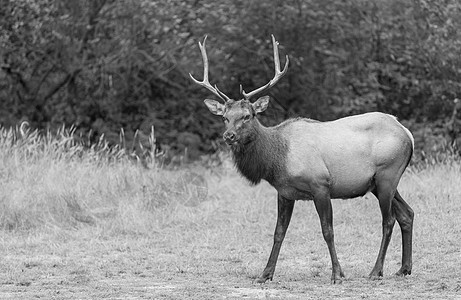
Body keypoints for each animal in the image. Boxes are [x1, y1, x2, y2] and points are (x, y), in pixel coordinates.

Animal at [189, 35, 416, 284]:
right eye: (224, 117)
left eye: (247, 116)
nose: (228, 136)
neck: (276, 160)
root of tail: (407, 133)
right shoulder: (285, 192)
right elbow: (278, 232)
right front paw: (265, 274)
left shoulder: (320, 185)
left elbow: (327, 231)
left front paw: (337, 274)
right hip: (379, 183)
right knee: (407, 214)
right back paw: (404, 268)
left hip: (387, 174)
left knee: (389, 220)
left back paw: (376, 271)